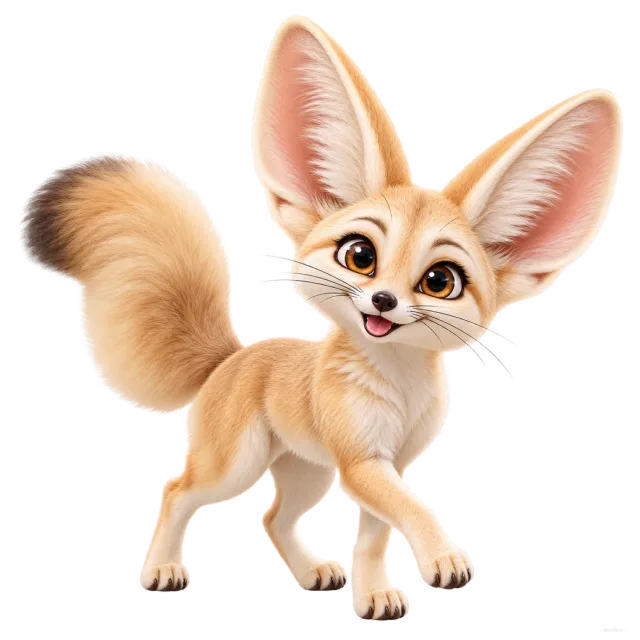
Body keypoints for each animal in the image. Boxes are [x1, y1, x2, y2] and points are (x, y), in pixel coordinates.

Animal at [18, 15, 623, 621]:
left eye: (439, 281)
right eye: (360, 256)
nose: (382, 302)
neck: (396, 386)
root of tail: (234, 355)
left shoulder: (391, 463)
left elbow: (377, 536)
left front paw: (375, 594)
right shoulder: (363, 462)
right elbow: (415, 511)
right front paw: (441, 559)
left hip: (307, 470)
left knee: (270, 516)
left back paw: (312, 572)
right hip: (237, 465)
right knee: (176, 490)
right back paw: (162, 570)